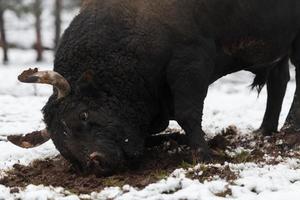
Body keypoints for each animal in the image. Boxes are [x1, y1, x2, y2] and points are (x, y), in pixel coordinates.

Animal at [8, 0, 300, 174]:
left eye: (83, 115)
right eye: (61, 142)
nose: (95, 161)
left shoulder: (190, 62)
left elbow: (187, 114)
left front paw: (205, 156)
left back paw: (289, 132)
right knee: (279, 81)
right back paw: (265, 130)